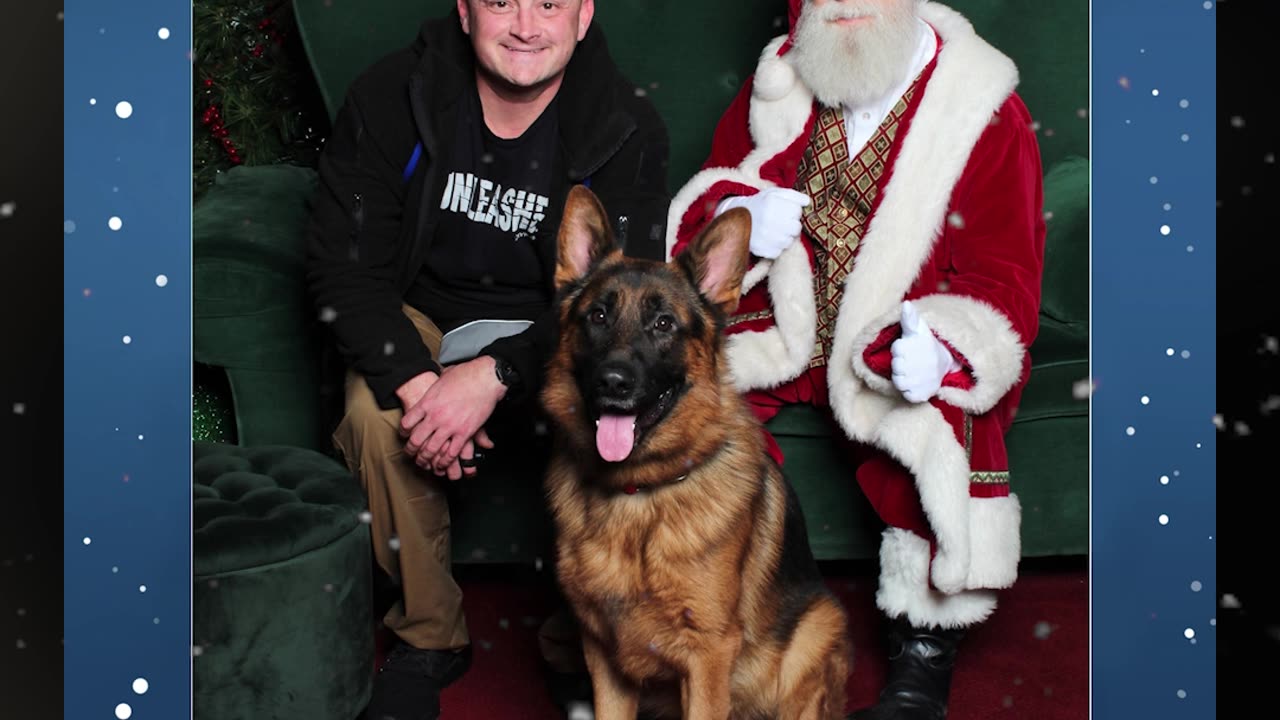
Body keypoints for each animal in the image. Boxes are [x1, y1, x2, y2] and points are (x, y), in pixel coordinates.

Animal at [537, 185, 849, 717]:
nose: (613, 383)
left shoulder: (707, 656)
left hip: (818, 627)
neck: (638, 492)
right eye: (597, 316)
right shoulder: (601, 653)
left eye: (664, 323)